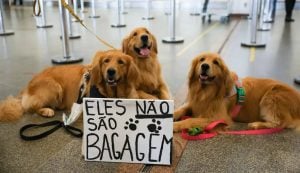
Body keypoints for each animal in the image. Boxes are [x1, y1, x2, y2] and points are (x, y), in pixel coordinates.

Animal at [0, 49, 139, 121]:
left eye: (121, 62)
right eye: (106, 61)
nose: (110, 71)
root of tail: (27, 86)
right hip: (54, 86)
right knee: (32, 107)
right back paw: (46, 110)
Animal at [172, 52, 300, 132]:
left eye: (216, 62)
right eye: (201, 59)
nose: (204, 66)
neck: (206, 91)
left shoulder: (219, 117)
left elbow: (190, 120)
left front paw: (175, 125)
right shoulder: (194, 104)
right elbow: (181, 110)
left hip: (272, 96)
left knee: (281, 123)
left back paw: (256, 124)